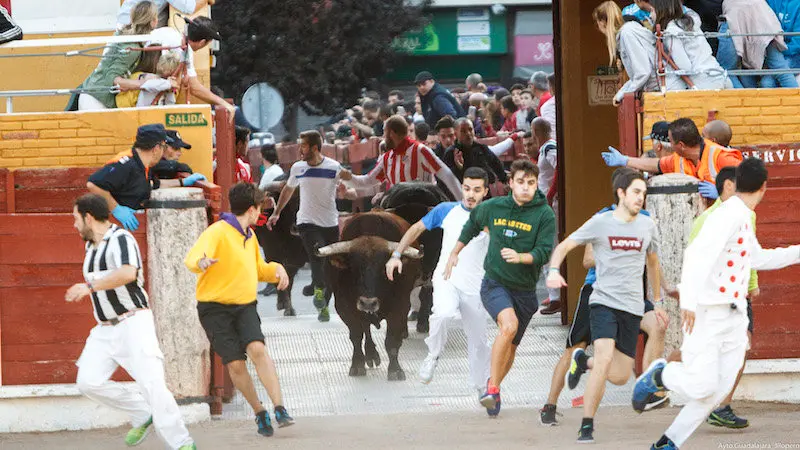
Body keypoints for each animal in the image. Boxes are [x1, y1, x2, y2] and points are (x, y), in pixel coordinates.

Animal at [316, 211, 422, 380]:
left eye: (384, 269)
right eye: (354, 268)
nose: (368, 303)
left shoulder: (401, 307)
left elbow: (392, 340)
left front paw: (395, 369)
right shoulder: (344, 308)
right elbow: (356, 336)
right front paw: (357, 365)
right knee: (366, 329)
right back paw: (371, 354)